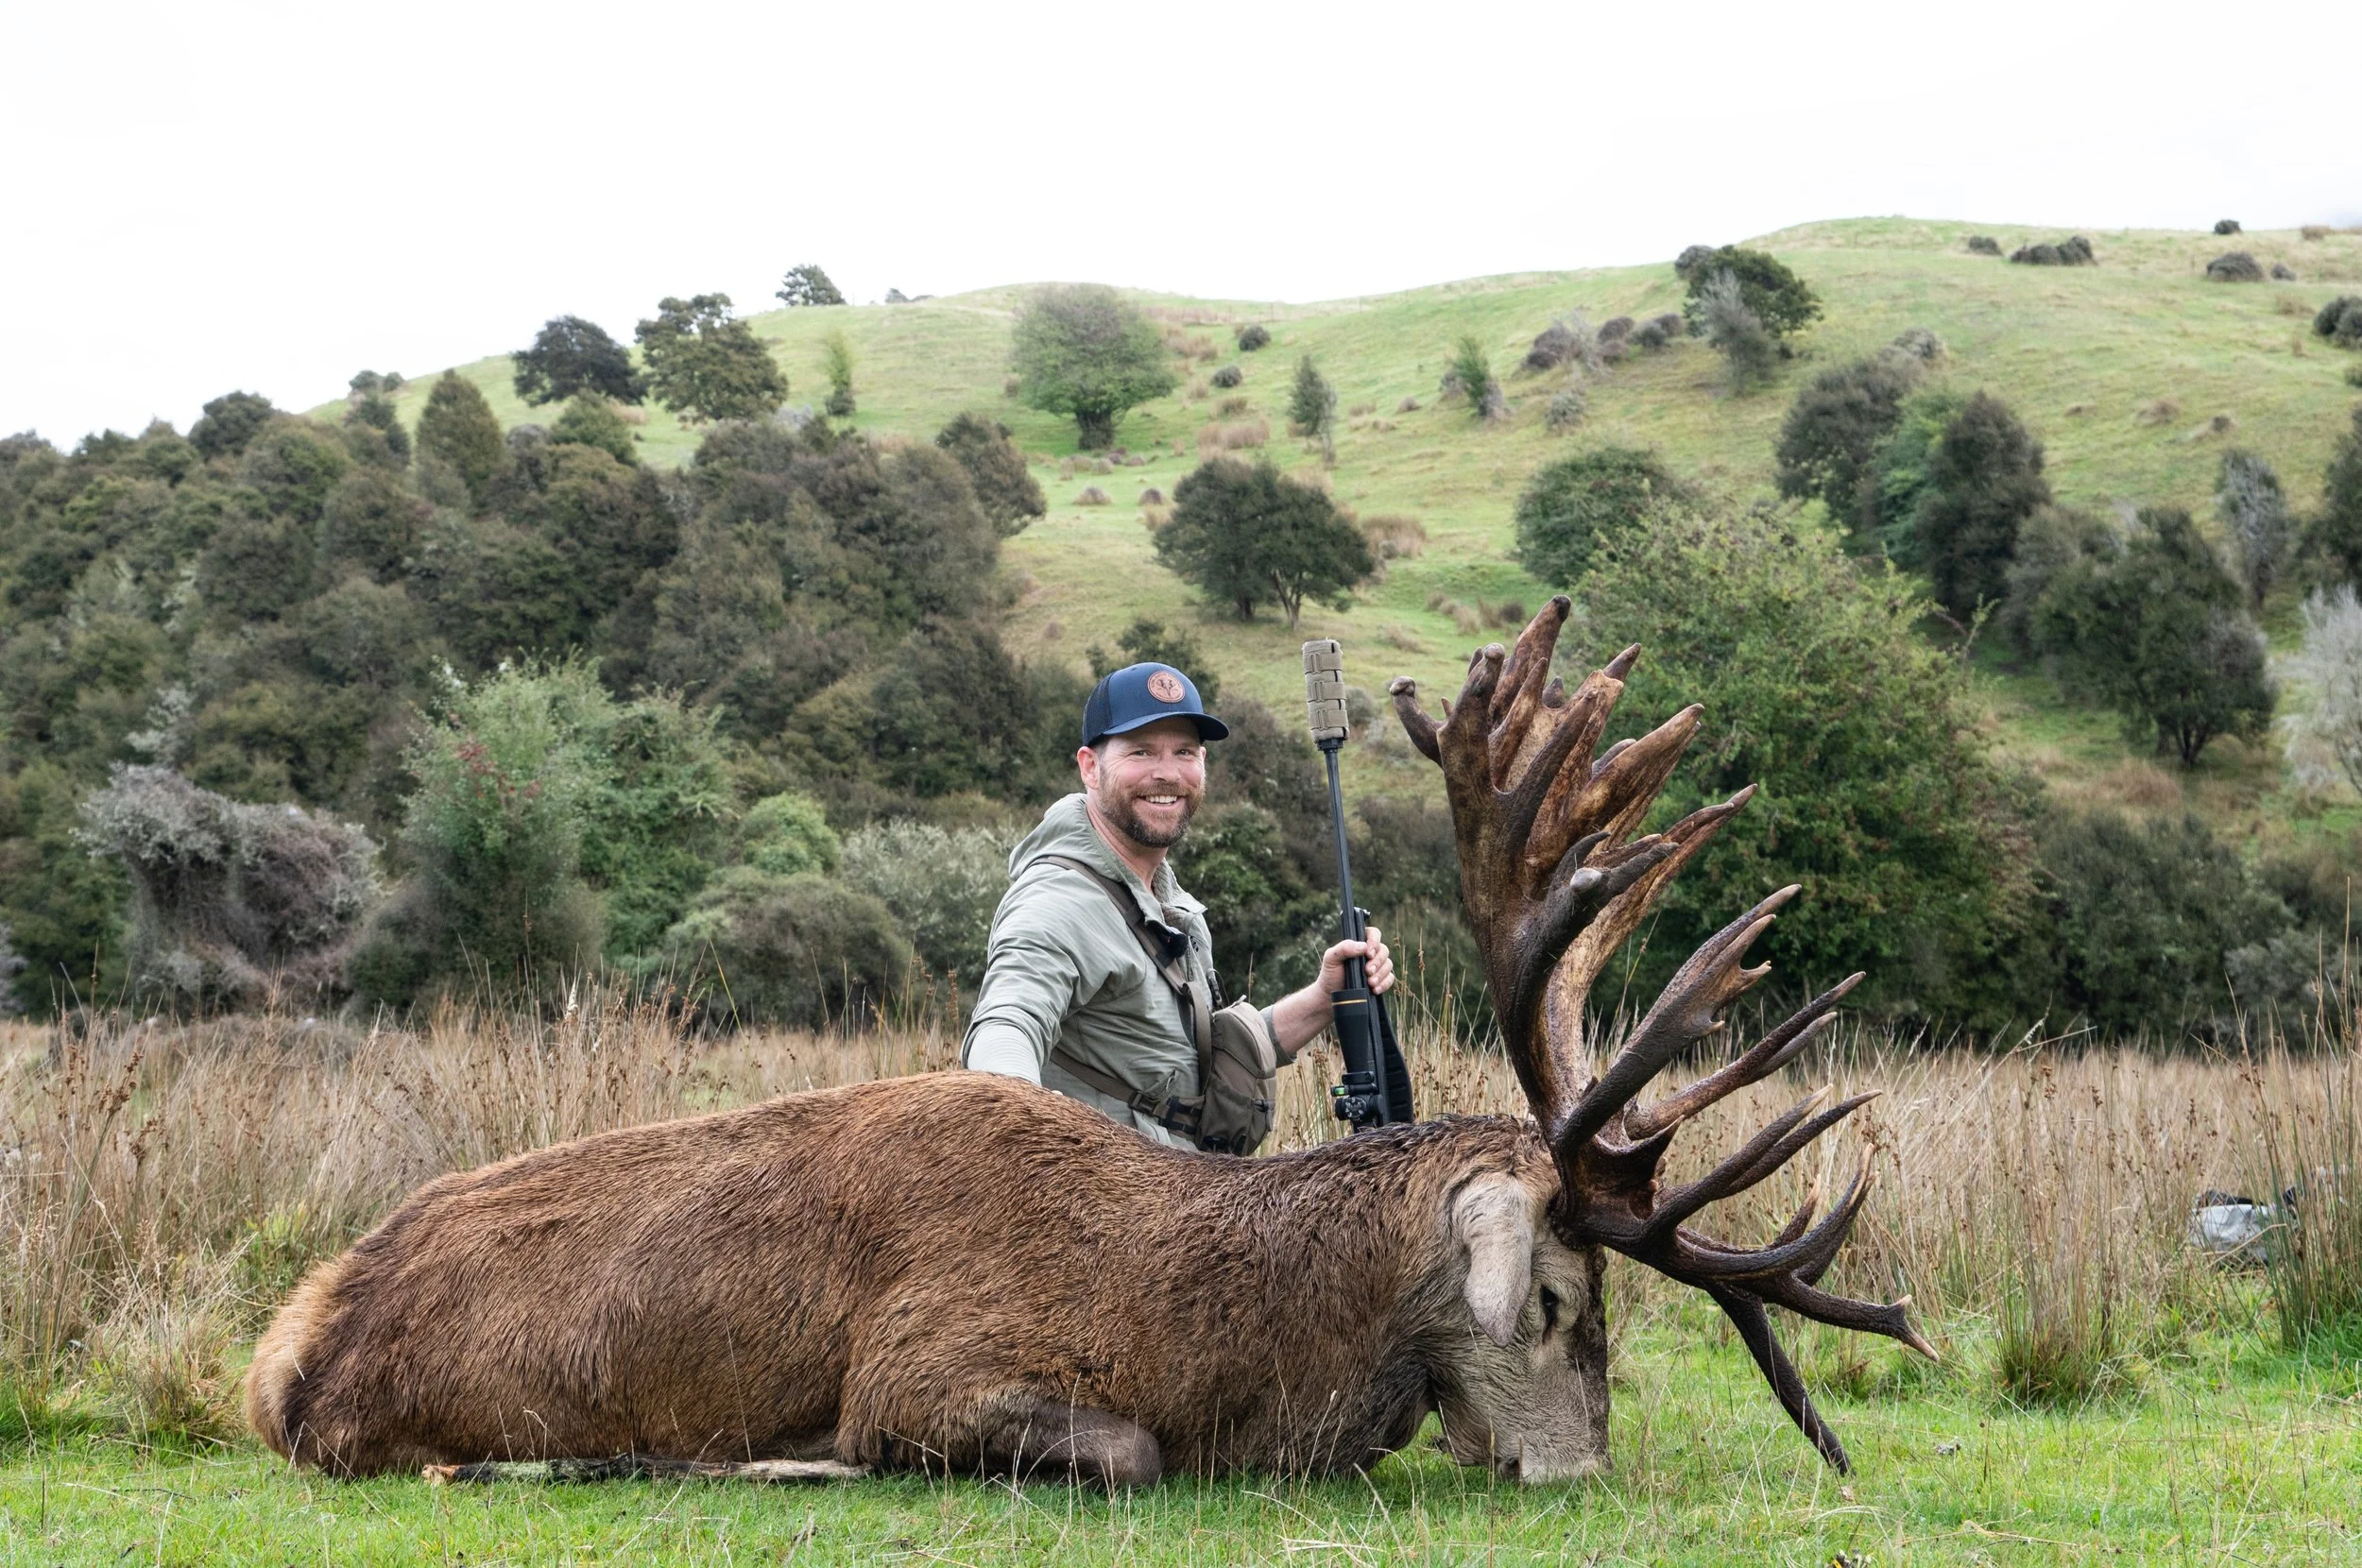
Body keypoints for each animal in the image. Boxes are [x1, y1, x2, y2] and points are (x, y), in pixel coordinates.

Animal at [247, 599, 1929, 1484]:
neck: (1218, 1344)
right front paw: (796, 1455)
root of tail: (288, 1353)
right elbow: (1119, 1452)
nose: (1571, 1470)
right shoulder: (925, 1368)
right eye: (1563, 1298)